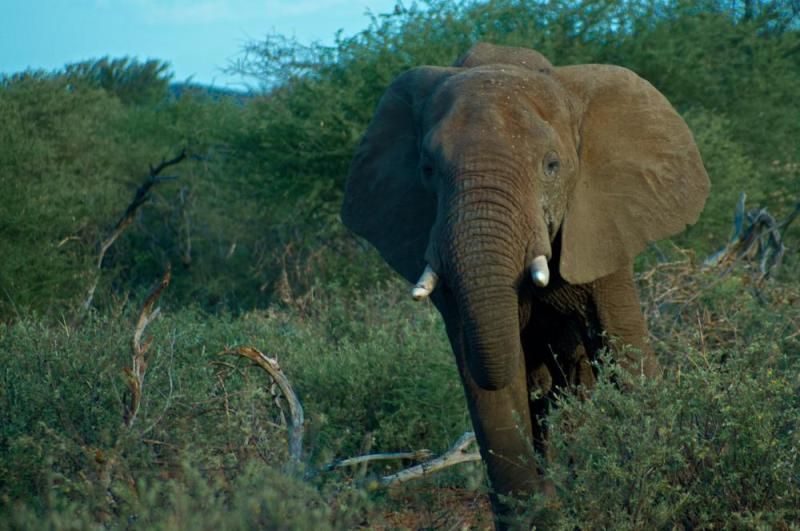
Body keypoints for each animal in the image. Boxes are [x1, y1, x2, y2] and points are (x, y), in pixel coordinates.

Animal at [341, 43, 709, 528]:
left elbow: (622, 341)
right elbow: (486, 378)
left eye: (551, 166)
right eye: (427, 168)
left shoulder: (601, 221)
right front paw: (536, 515)